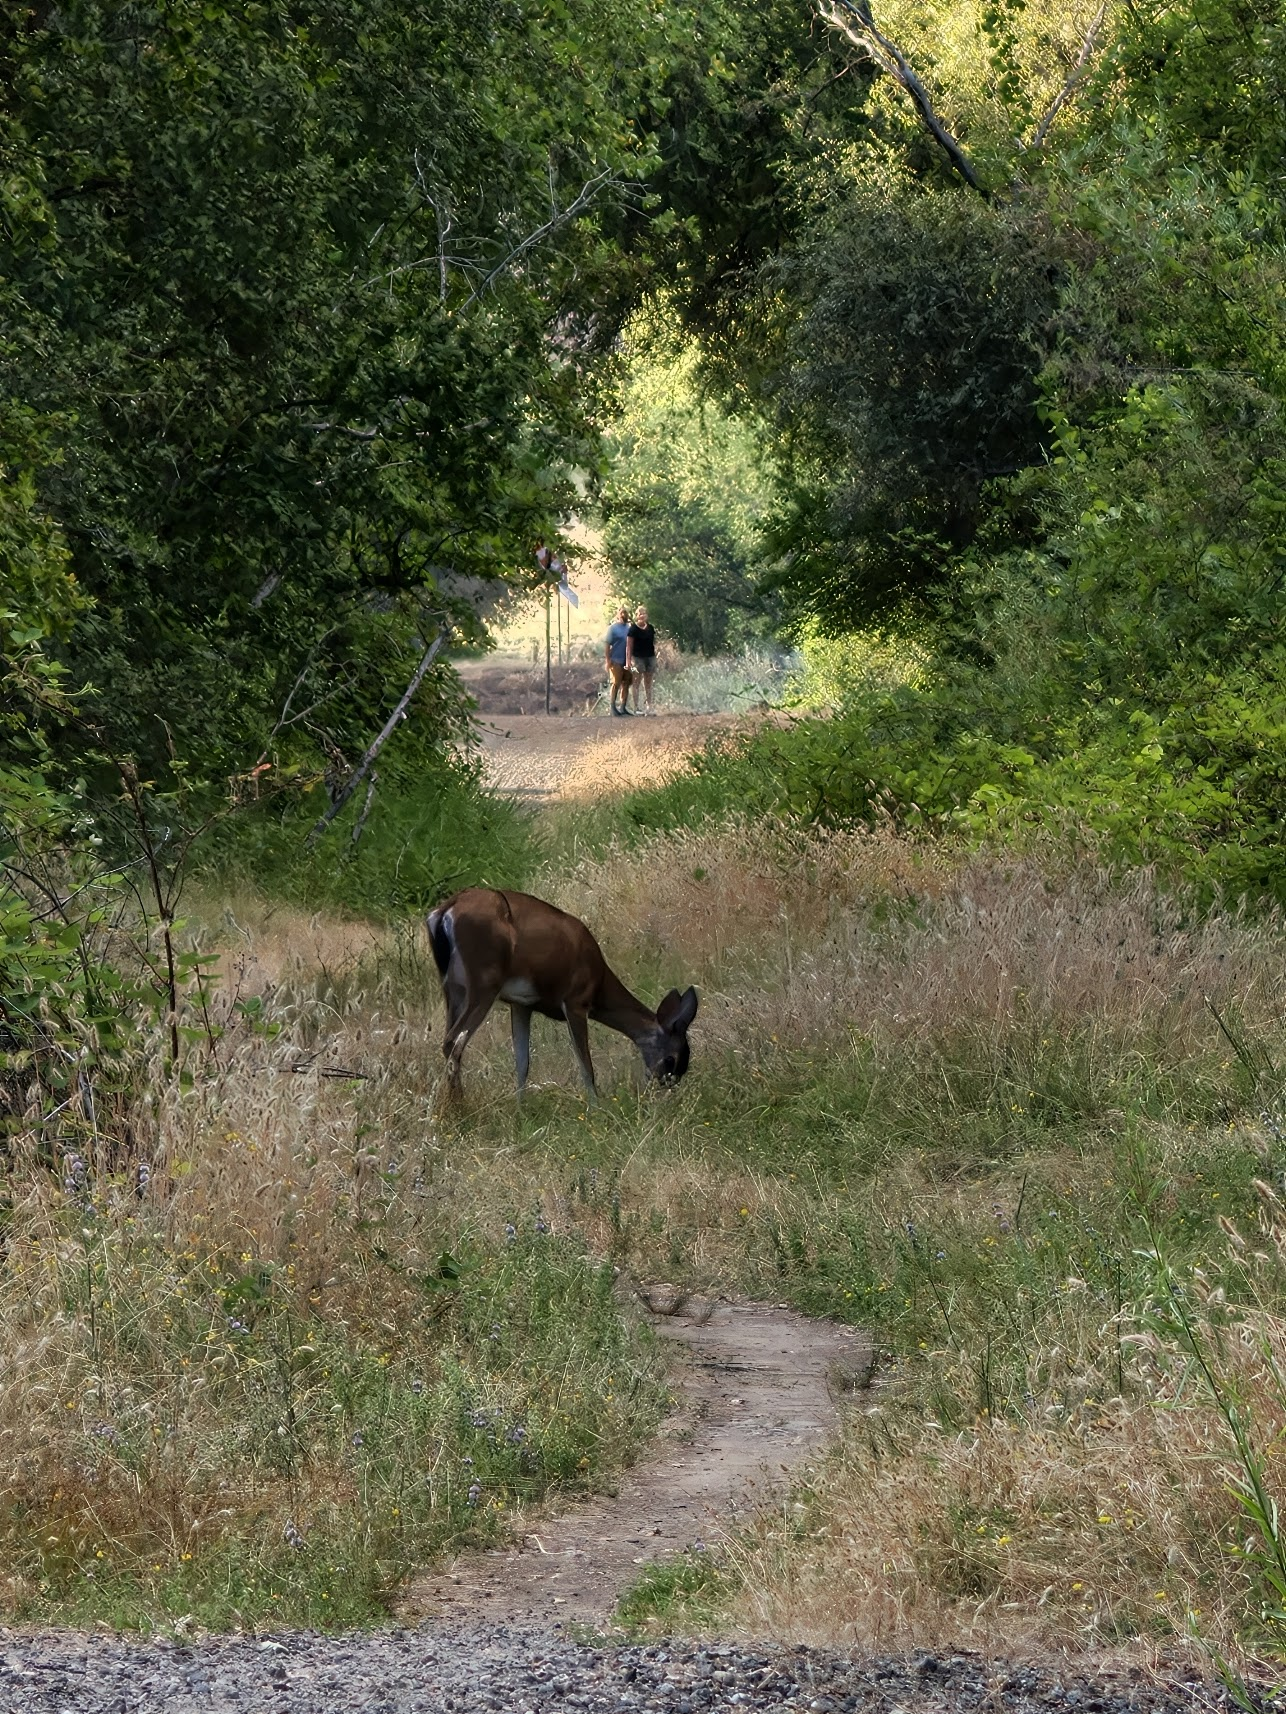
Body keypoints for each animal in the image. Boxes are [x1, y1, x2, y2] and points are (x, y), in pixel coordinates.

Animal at [426, 888, 698, 1099]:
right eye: (672, 1059)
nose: (665, 1087)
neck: (599, 982)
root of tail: (444, 911)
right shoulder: (576, 1000)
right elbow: (586, 1064)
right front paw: (596, 1108)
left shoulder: (522, 1004)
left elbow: (522, 1062)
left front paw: (520, 1109)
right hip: (483, 983)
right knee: (453, 1040)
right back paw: (457, 1107)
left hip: (453, 988)